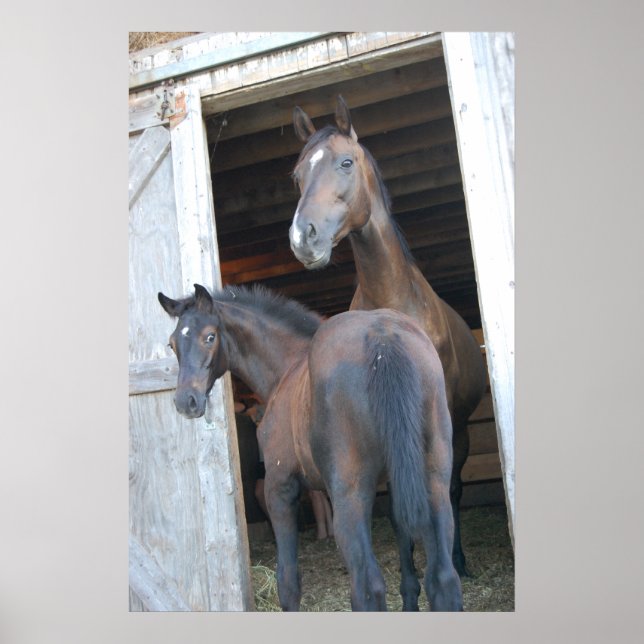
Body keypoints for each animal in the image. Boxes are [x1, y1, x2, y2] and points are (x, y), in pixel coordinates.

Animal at [158, 283, 463, 612]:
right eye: (172, 344)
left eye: (210, 336)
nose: (186, 401)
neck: (287, 368)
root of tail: (382, 337)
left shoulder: (280, 488)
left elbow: (288, 581)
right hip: (434, 481)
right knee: (444, 580)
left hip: (350, 495)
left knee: (368, 588)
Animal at [289, 96, 488, 580]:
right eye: (298, 175)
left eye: (345, 162)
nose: (303, 238)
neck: (392, 303)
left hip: (457, 431)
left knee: (453, 488)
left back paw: (458, 558)